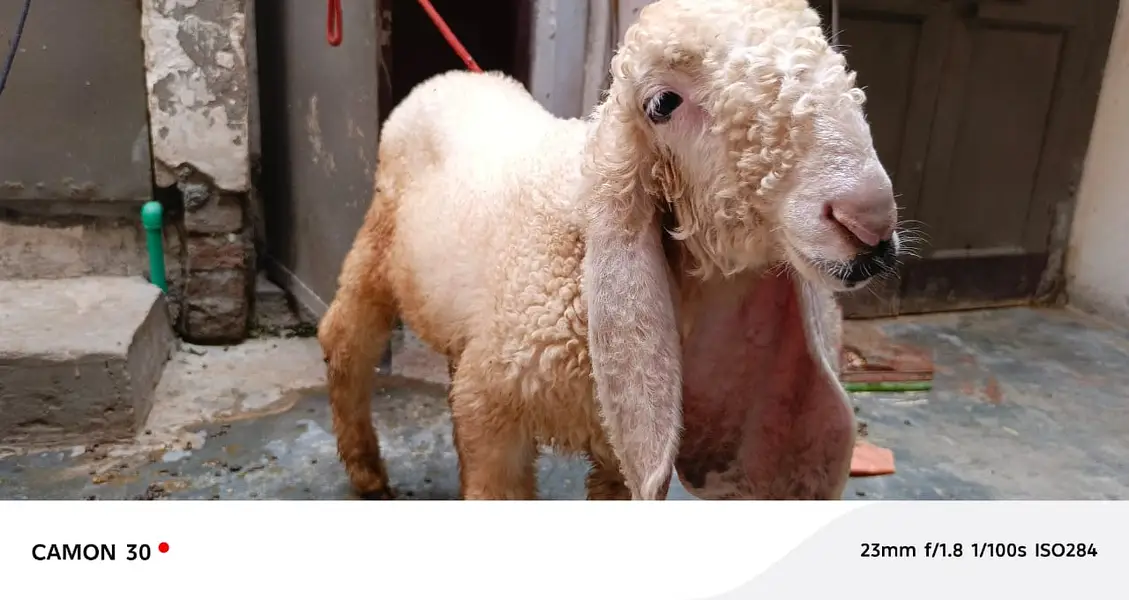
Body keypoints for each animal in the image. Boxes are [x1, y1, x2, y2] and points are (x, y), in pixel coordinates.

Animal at [318, 0, 901, 500]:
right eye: (662, 104)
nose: (869, 220)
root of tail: (452, 78)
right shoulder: (495, 410)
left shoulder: (621, 437)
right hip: (378, 240)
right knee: (345, 337)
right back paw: (366, 469)